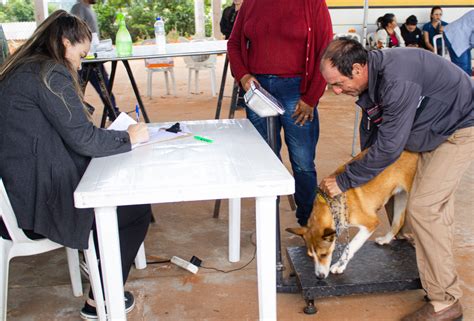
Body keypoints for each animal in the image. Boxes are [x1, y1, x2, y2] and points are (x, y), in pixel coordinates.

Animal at [286, 150, 416, 278]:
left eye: (324, 254)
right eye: (311, 256)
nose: (319, 276)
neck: (332, 203)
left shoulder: (370, 224)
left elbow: (350, 246)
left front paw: (340, 265)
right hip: (400, 196)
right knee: (398, 222)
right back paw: (386, 239)